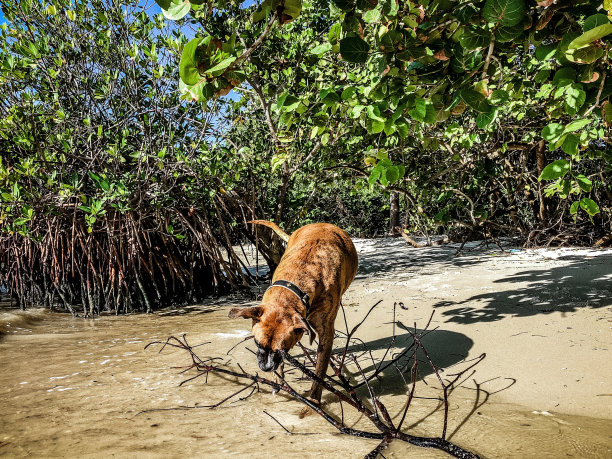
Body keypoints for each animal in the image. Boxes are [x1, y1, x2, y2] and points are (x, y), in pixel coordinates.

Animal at [227, 223, 356, 406]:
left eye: (283, 350)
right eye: (257, 343)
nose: (266, 368)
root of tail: (321, 224)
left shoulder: (326, 333)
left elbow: (319, 371)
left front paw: (313, 400)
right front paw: (277, 380)